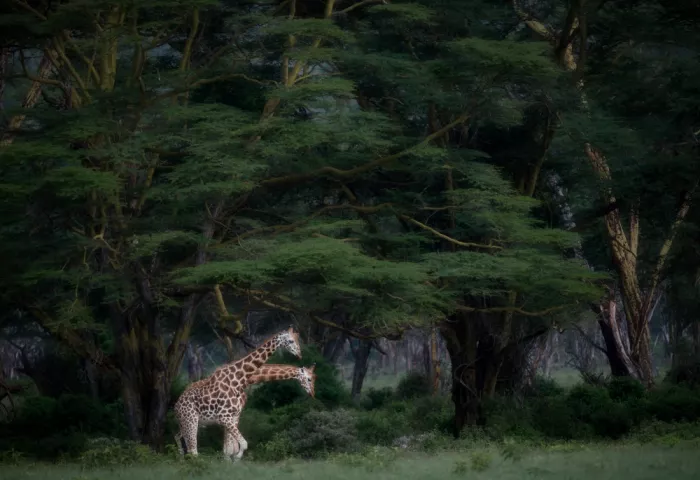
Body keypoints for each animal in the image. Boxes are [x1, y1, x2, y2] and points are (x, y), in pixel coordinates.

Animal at [173, 326, 302, 460]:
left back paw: (181, 457)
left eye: (298, 339)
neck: (238, 381)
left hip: (187, 422)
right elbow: (240, 445)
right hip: (191, 420)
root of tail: (176, 406)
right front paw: (235, 459)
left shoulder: (233, 416)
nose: (299, 354)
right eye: (291, 341)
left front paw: (232, 459)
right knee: (193, 450)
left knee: (180, 438)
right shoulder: (224, 417)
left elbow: (232, 447)